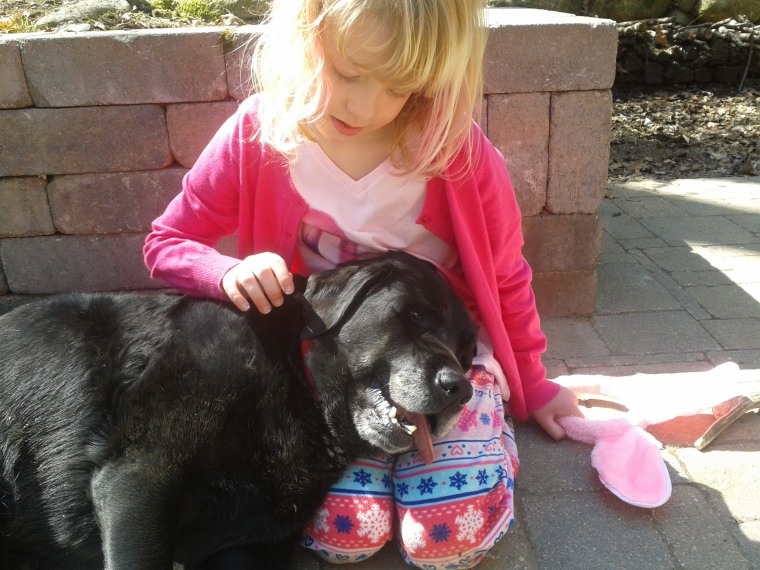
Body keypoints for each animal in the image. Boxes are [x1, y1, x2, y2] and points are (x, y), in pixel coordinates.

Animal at [0, 252, 476, 568]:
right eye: (416, 315)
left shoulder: (252, 544)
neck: (295, 380)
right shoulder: (139, 473)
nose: (460, 389)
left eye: (468, 353)